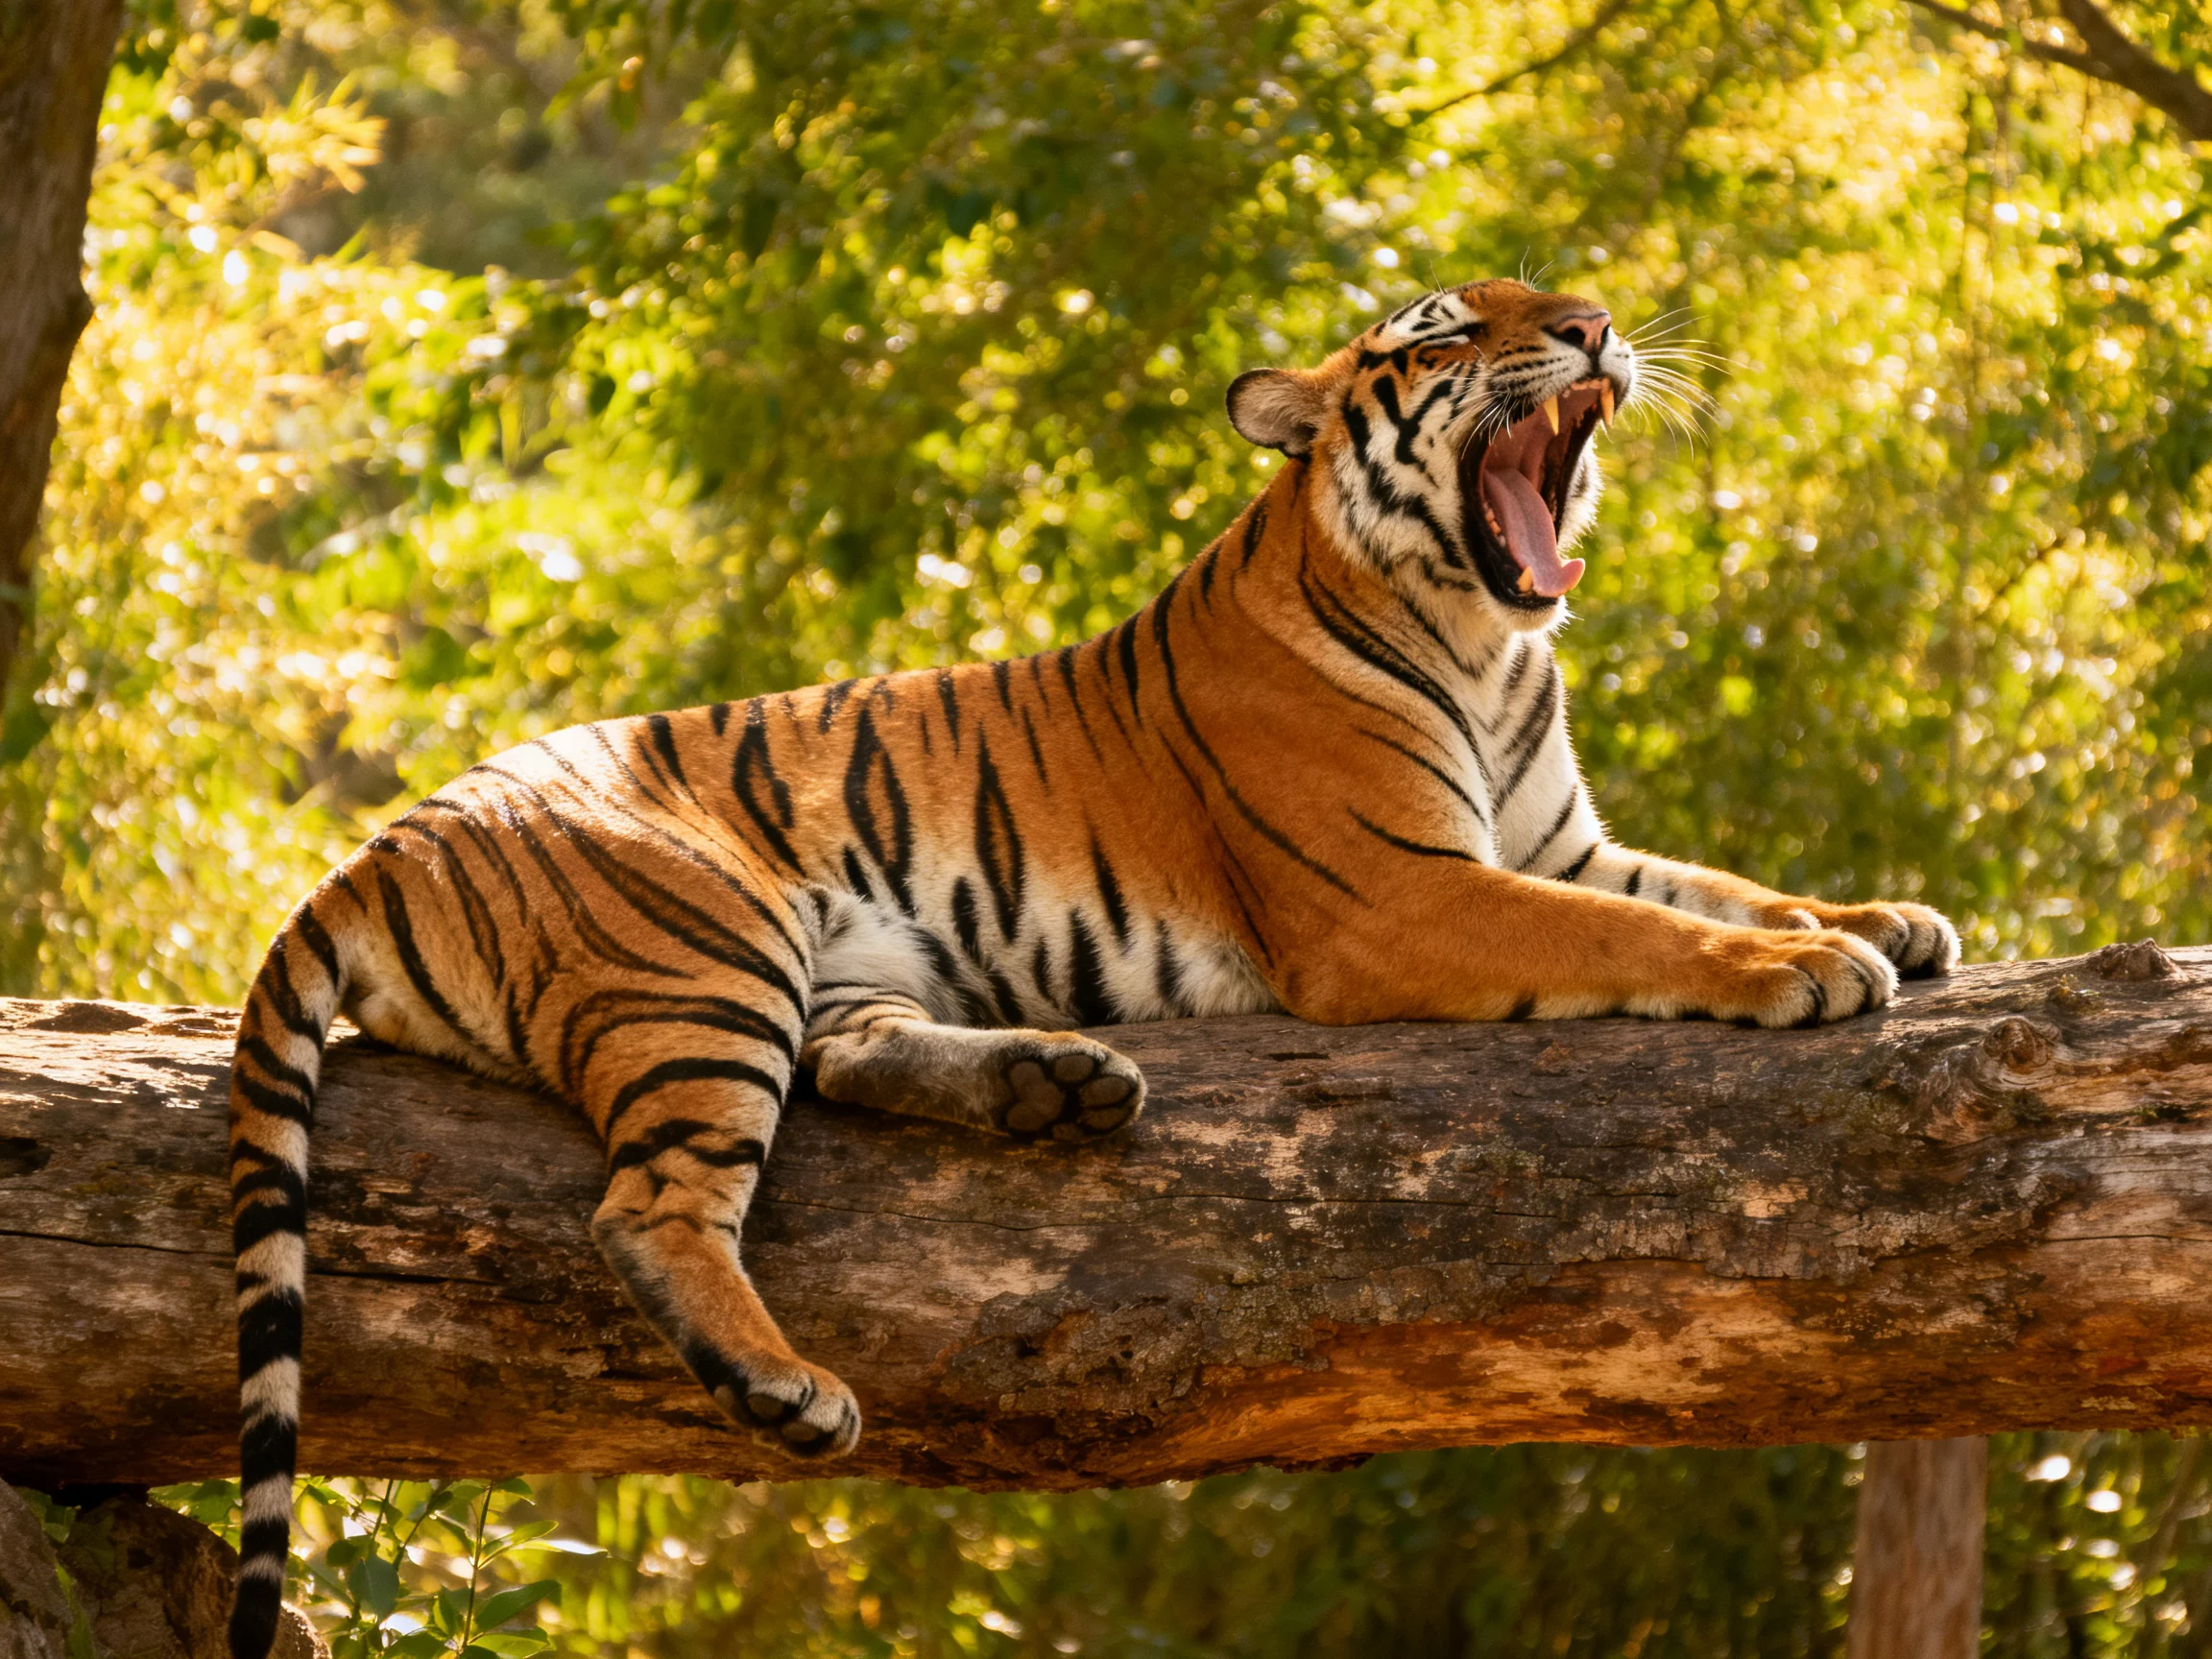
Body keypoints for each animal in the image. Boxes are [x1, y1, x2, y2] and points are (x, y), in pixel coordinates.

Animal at [224, 277, 1958, 1658]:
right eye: (1452, 331)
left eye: (1554, 298)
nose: (1596, 328)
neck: (1489, 638)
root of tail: (376, 845)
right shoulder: (1402, 895)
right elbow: (1647, 932)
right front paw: (1803, 971)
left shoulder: (1554, 843)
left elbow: (1712, 881)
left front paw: (1884, 919)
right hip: (707, 955)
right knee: (647, 1209)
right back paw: (793, 1386)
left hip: (828, 959)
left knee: (851, 1060)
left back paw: (1056, 1086)